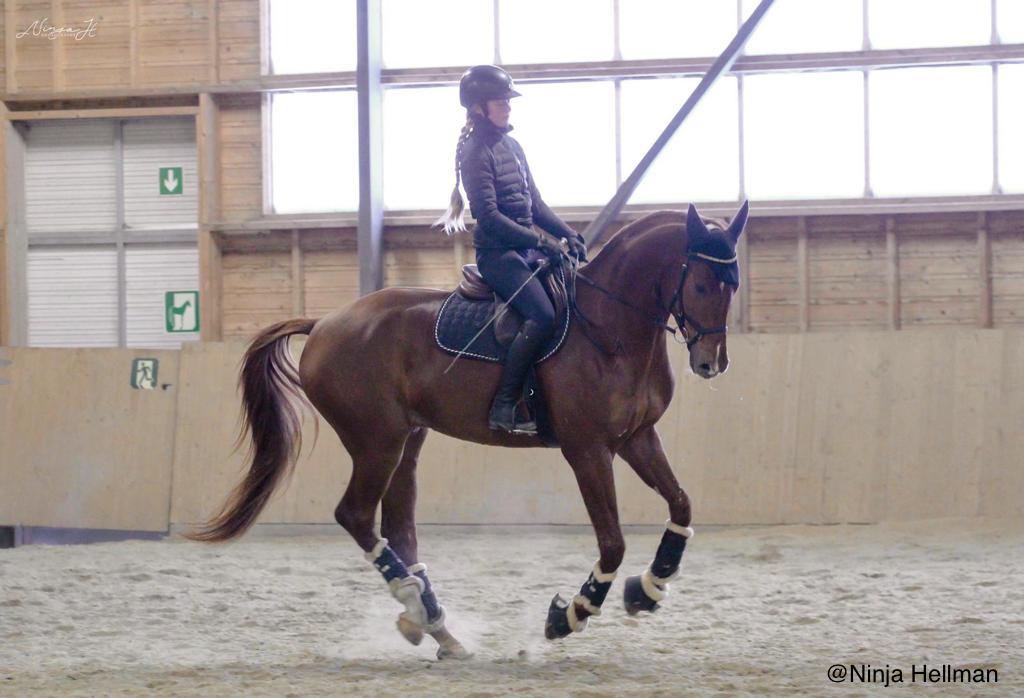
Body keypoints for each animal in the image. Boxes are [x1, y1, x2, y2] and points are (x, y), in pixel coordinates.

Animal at [188, 198, 749, 655]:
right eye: (701, 283)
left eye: (733, 286)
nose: (711, 363)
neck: (608, 327)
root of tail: (325, 322)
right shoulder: (588, 450)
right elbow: (612, 542)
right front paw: (569, 615)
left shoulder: (637, 438)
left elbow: (681, 504)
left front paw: (649, 588)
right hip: (376, 442)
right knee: (356, 515)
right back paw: (418, 607)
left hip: (407, 442)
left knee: (399, 528)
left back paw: (436, 626)